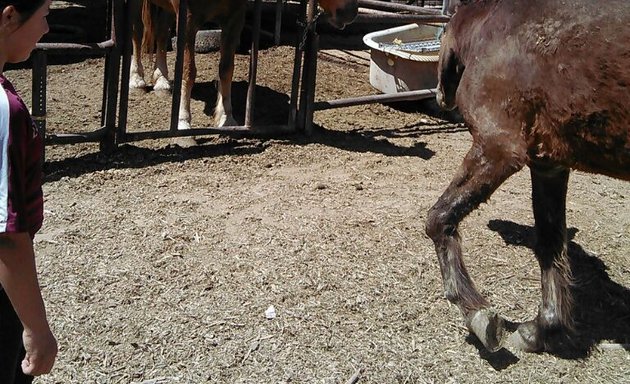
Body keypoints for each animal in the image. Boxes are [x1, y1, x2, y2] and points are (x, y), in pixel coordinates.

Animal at [130, 0, 358, 130]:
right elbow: (188, 71)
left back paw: (162, 80)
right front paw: (184, 119)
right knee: (137, 33)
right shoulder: (188, 20)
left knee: (161, 32)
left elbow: (226, 69)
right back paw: (137, 78)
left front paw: (226, 117)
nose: (351, 12)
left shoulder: (234, 19)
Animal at [430, 0, 630, 352]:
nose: (438, 96)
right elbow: (550, 244)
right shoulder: (549, 165)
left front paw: (476, 313)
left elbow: (439, 218)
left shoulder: (497, 147)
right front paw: (542, 329)